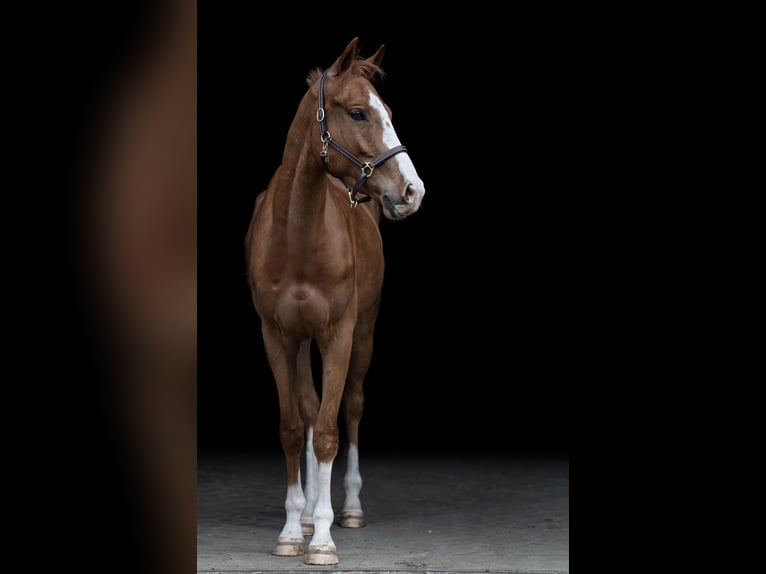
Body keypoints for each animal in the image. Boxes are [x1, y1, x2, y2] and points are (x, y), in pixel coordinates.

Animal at [246, 37, 426, 568]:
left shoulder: (339, 333)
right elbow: (294, 425)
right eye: (358, 113)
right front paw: (293, 530)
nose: (412, 191)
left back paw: (347, 510)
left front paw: (323, 540)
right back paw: (307, 514)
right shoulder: (277, 335)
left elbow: (329, 429)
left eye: (389, 112)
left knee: (351, 407)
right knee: (308, 408)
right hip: (303, 340)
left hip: (363, 334)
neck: (297, 234)